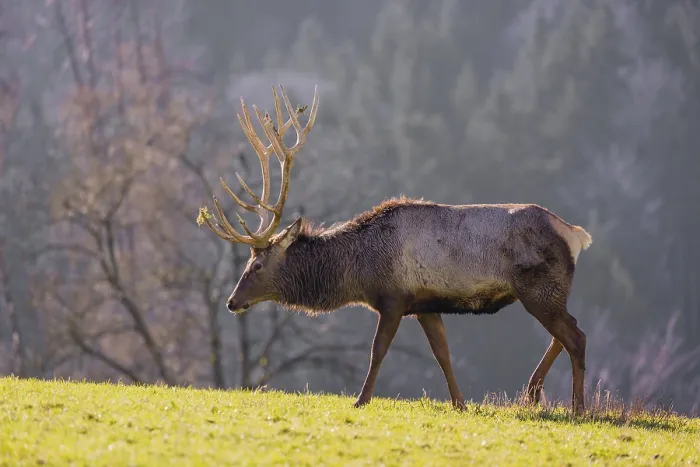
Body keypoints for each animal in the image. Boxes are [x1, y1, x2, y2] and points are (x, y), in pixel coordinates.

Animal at [197, 84, 593, 415]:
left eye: (257, 265)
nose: (232, 302)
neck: (356, 272)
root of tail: (576, 235)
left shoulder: (393, 298)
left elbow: (378, 351)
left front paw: (360, 400)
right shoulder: (425, 304)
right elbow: (443, 354)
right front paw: (460, 403)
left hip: (539, 288)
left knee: (575, 336)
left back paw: (577, 407)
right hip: (547, 292)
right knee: (565, 332)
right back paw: (532, 394)